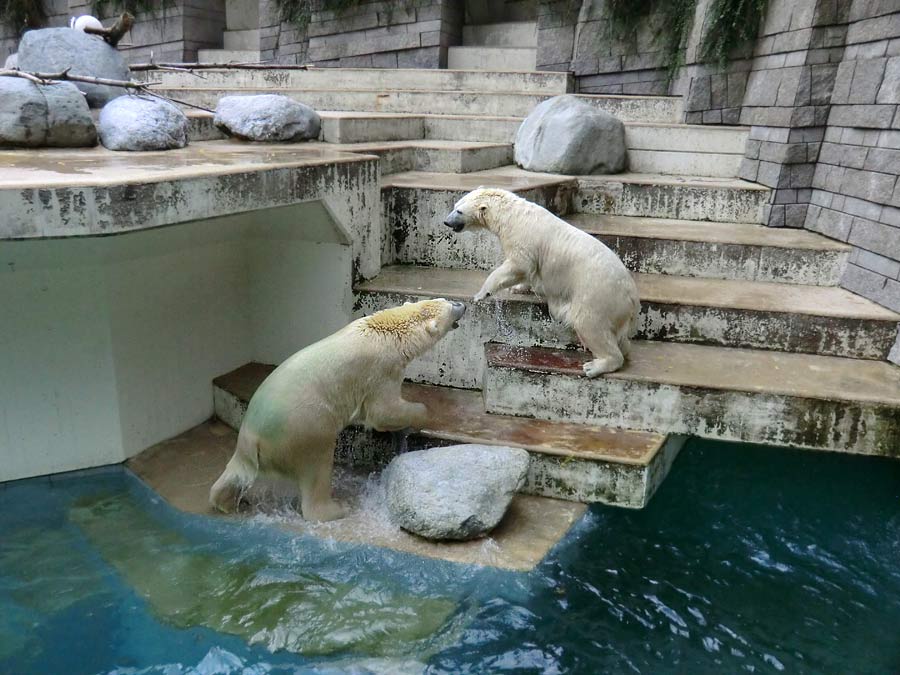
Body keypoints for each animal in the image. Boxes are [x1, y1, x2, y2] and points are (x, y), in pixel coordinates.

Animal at [208, 298, 468, 520]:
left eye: (444, 300)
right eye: (449, 306)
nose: (462, 304)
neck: (389, 331)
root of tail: (252, 439)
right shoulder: (382, 370)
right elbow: (382, 412)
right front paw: (419, 417)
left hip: (250, 448)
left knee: (233, 475)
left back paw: (227, 502)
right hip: (304, 429)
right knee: (317, 467)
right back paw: (335, 509)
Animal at [444, 187, 640, 378]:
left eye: (459, 211)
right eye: (455, 205)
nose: (446, 222)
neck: (510, 214)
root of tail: (632, 296)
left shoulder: (521, 239)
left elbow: (518, 265)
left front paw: (481, 294)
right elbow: (526, 273)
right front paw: (518, 288)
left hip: (597, 294)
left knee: (590, 325)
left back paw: (594, 366)